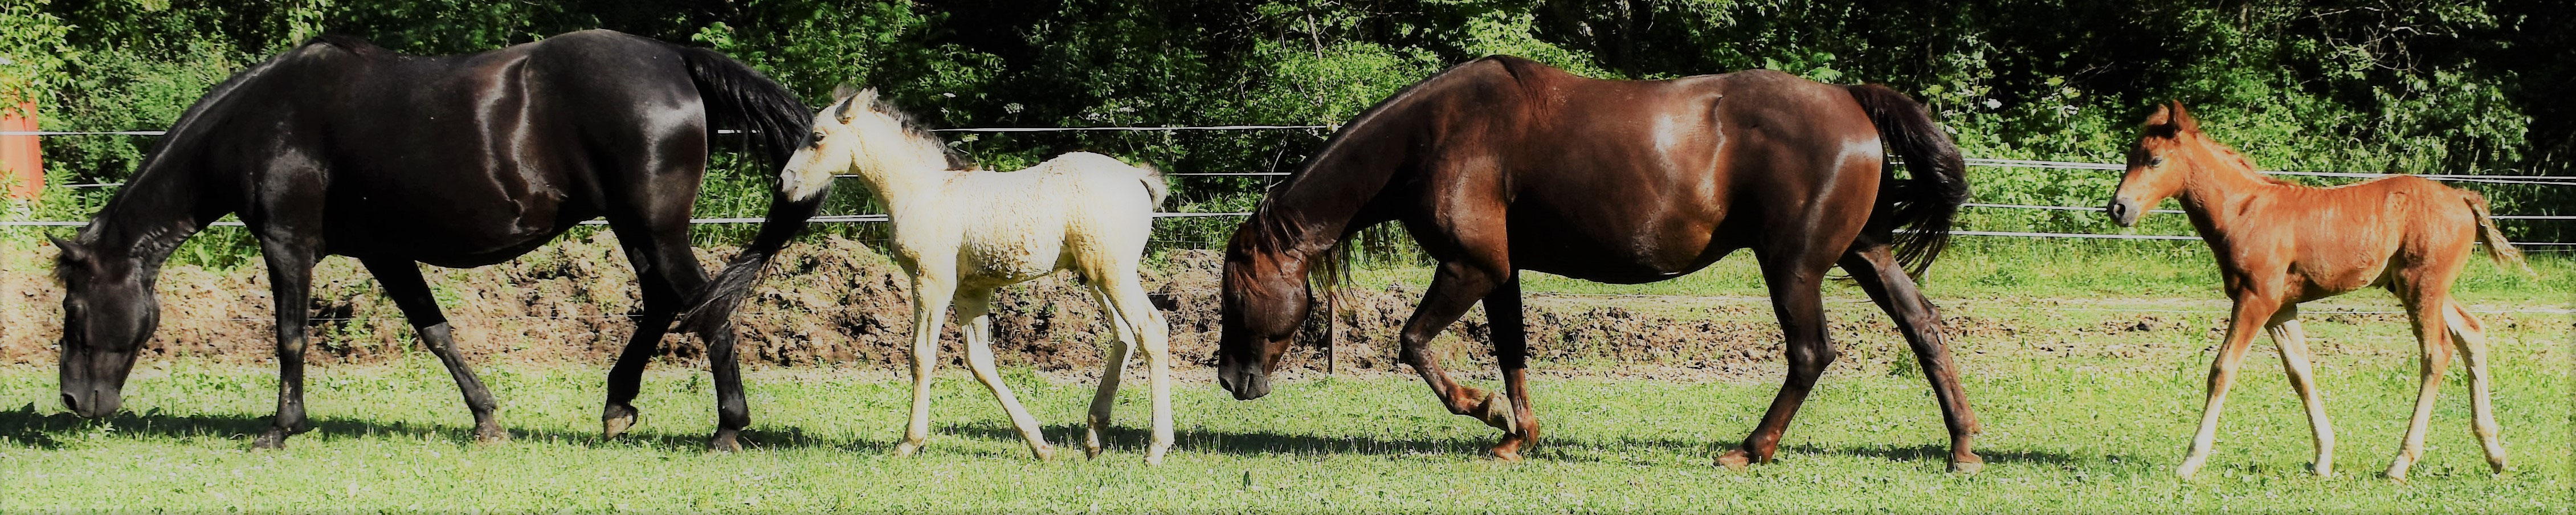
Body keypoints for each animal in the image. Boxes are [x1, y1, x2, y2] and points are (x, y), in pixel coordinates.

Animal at [49, 30, 820, 451]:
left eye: (74, 309)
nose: (75, 403)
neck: (266, 120)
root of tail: (673, 59)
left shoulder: (285, 244)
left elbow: (290, 337)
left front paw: (280, 427)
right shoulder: (384, 252)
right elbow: (436, 332)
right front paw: (486, 419)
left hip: (654, 229)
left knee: (705, 309)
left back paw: (726, 427)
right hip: (640, 230)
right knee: (666, 304)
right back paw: (617, 405)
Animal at [680, 87, 1176, 463]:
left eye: (817, 136)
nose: (784, 184)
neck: (920, 189)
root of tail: (1136, 177)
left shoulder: (931, 281)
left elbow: (921, 355)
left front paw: (908, 443)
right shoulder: (972, 291)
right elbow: (980, 362)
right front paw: (1039, 445)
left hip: (1111, 273)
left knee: (1151, 329)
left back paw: (1155, 447)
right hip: (1095, 276)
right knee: (1124, 337)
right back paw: (1093, 436)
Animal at [1212, 55, 1984, 471]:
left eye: (1235, 293)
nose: (1230, 380)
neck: (1438, 135)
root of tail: (1852, 100)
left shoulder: (1469, 267)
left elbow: (1413, 342)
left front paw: (1483, 410)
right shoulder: (1499, 273)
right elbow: (1513, 351)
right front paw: (1517, 436)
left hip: (1793, 269)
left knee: (1810, 352)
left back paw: (1750, 448)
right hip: (1866, 253)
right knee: (1924, 329)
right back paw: (1962, 446)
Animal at [2105, 102, 2528, 479]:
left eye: (2154, 160)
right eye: (2130, 157)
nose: (2118, 209)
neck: (2242, 212)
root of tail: (2461, 198)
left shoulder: (2255, 299)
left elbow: (2222, 369)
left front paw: (2190, 462)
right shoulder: (2281, 308)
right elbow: (2300, 373)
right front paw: (2323, 459)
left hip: (2420, 287)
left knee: (2436, 352)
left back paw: (2399, 464)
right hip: (2419, 287)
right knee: (2471, 332)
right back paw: (2495, 454)